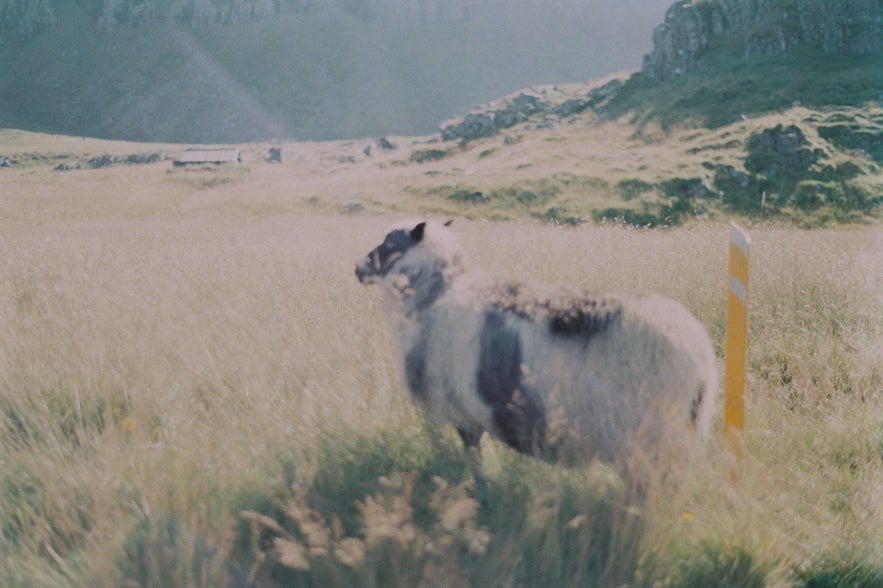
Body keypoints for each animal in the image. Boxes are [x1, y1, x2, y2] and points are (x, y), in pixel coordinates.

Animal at [356, 220, 720, 500]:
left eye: (389, 243)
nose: (358, 267)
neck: (434, 291)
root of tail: (699, 354)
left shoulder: (462, 413)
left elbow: (474, 459)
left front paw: (482, 499)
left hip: (648, 439)